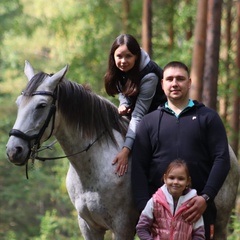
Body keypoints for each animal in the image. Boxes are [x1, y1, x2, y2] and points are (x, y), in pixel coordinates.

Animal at [6, 62, 240, 240]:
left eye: (41, 105)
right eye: (18, 102)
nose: (13, 150)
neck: (94, 168)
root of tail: (229, 154)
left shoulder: (122, 227)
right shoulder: (89, 227)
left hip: (219, 223)